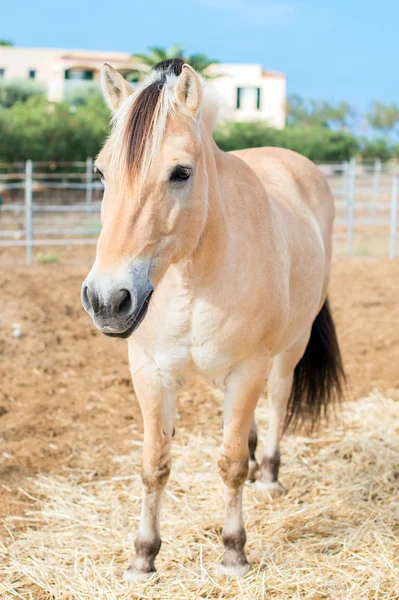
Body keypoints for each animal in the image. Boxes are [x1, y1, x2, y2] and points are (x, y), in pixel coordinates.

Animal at [80, 58, 344, 580]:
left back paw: (269, 475)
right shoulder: (150, 373)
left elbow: (230, 465)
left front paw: (233, 552)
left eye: (181, 172)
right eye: (100, 171)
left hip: (290, 348)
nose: (106, 299)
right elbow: (155, 464)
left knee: (276, 402)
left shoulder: (247, 369)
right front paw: (143, 557)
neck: (192, 276)